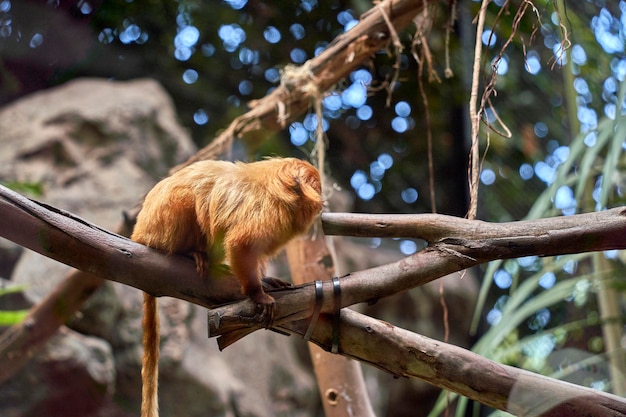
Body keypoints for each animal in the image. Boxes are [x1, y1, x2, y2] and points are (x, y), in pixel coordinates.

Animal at [128, 156, 322, 416]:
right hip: (160, 229)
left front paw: (267, 281)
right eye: (317, 186)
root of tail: (139, 235)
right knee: (187, 199)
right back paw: (191, 254)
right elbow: (241, 244)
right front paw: (258, 294)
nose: (322, 200)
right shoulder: (268, 212)